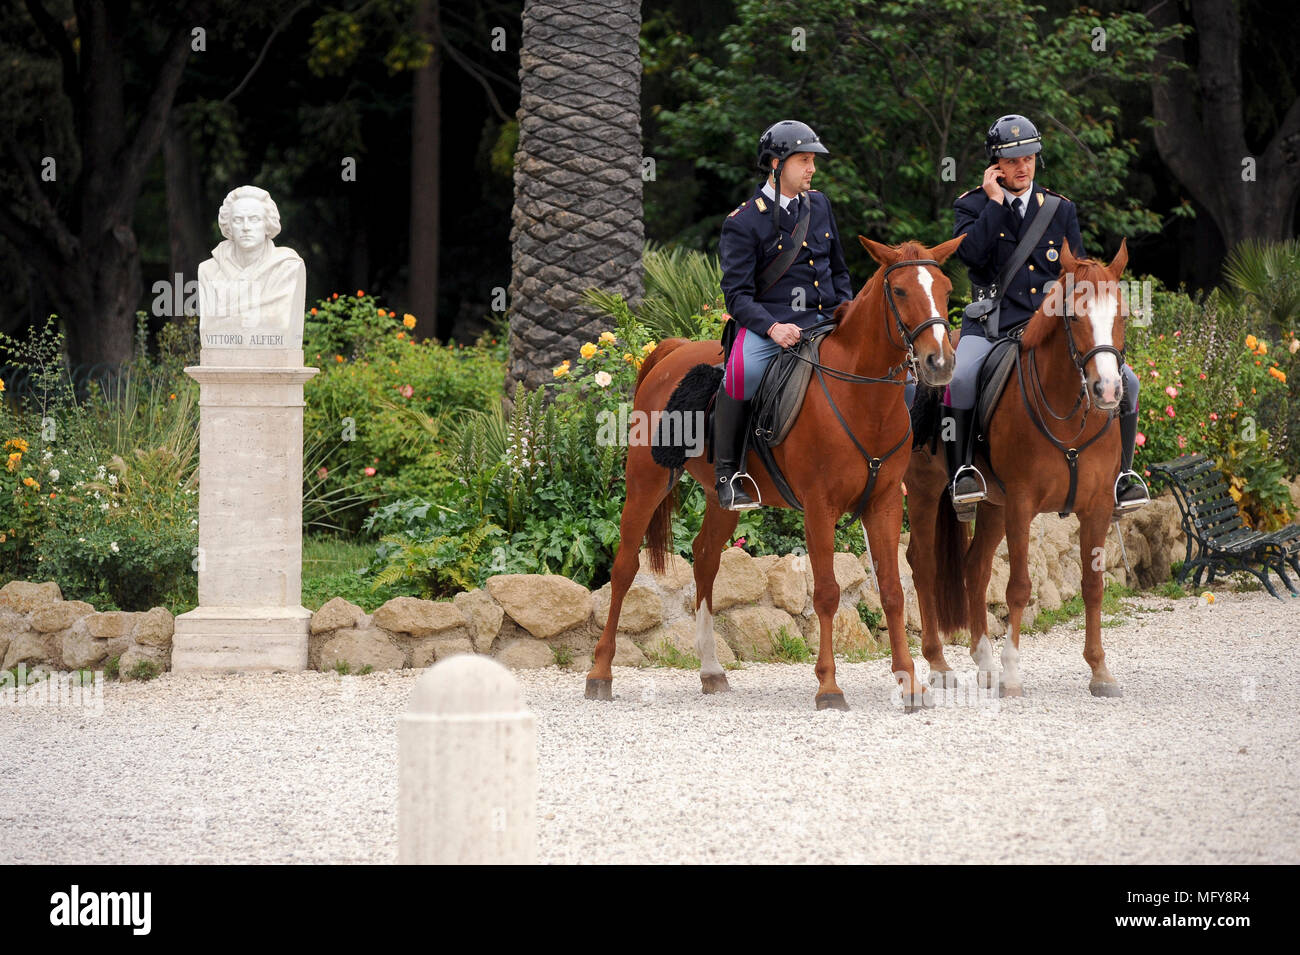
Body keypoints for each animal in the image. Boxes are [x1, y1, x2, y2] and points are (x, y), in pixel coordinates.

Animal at [585, 235, 966, 710]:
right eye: (899, 291)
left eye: (946, 290)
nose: (939, 362)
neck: (860, 396)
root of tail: (673, 351)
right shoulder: (819, 508)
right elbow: (827, 593)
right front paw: (828, 686)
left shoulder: (884, 505)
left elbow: (894, 592)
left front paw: (910, 683)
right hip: (646, 481)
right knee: (623, 568)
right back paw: (600, 673)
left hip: (723, 498)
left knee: (705, 560)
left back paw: (711, 669)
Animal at [905, 239, 1132, 697]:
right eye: (1074, 315)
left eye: (1119, 314)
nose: (1107, 390)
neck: (1071, 414)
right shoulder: (1023, 505)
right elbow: (1019, 588)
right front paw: (1012, 673)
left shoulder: (1097, 507)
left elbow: (1093, 585)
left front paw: (1100, 670)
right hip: (924, 492)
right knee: (924, 564)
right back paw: (940, 664)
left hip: (993, 505)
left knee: (974, 567)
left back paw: (983, 662)